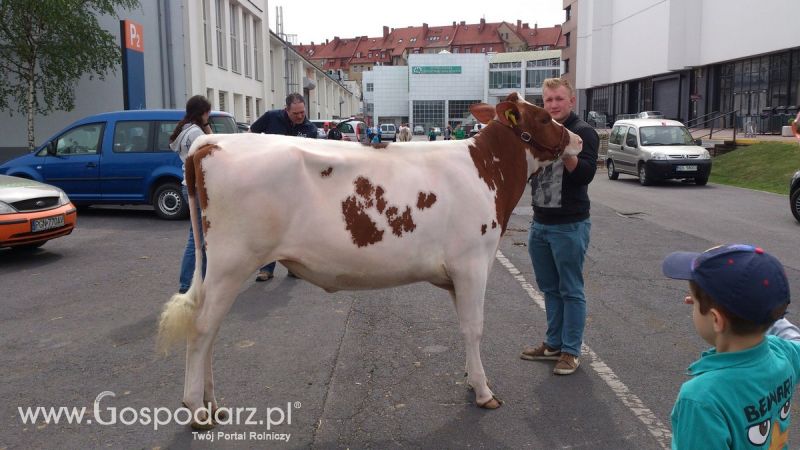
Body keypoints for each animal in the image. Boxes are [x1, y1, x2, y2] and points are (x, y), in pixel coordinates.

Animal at [158, 92, 580, 428]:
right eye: (544, 118)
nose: (576, 138)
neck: (487, 171)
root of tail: (211, 142)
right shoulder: (473, 263)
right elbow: (474, 328)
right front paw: (483, 391)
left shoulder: (458, 273)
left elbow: (465, 326)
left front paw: (471, 377)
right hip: (232, 261)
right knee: (201, 329)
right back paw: (197, 410)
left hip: (220, 268)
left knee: (210, 330)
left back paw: (214, 404)